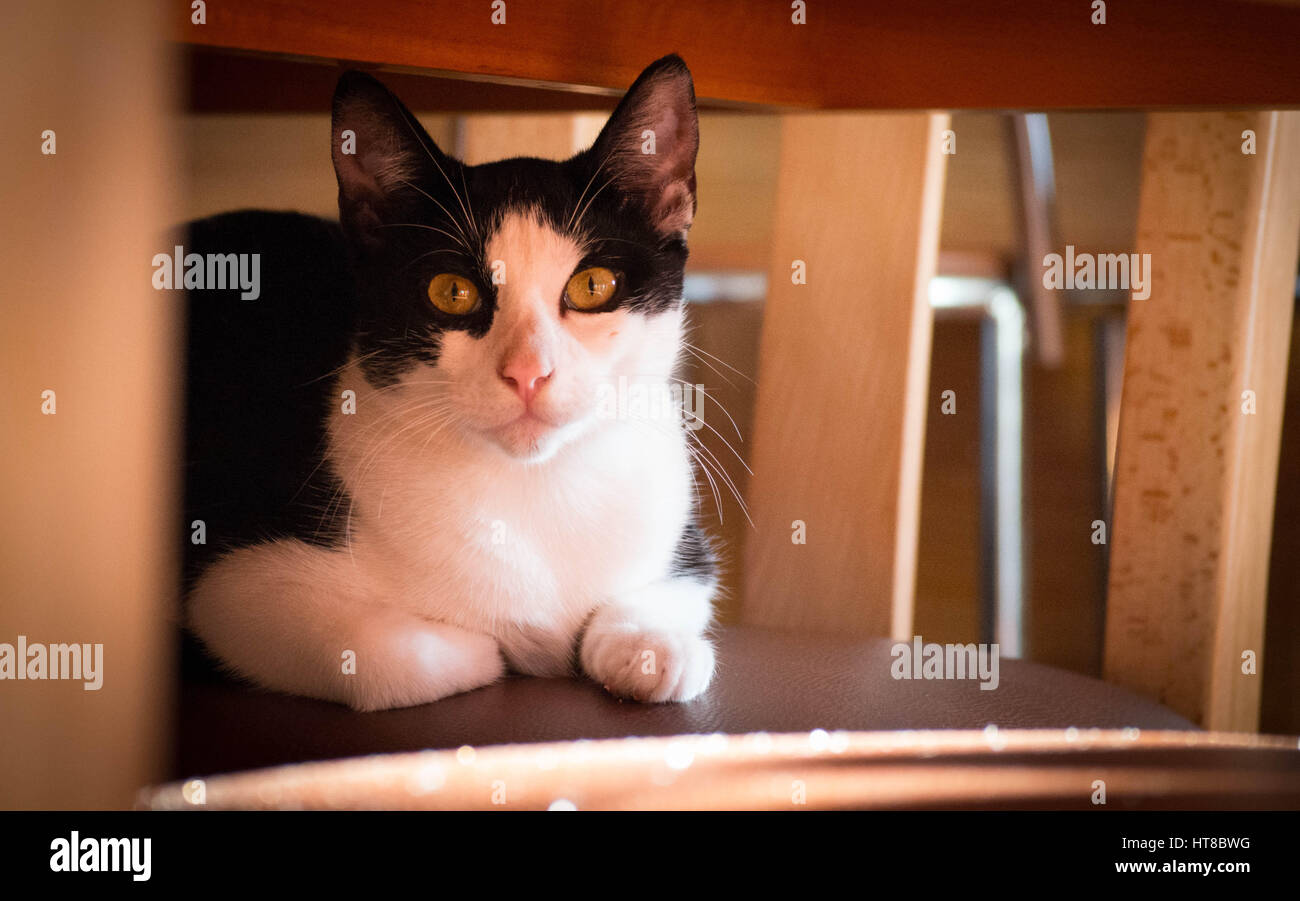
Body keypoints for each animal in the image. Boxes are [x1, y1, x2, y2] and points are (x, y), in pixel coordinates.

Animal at [180, 54, 722, 712]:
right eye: (452, 291)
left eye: (594, 286)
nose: (528, 371)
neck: (532, 487)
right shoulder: (227, 586)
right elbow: (382, 655)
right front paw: (488, 649)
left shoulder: (683, 546)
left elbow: (670, 596)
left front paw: (654, 648)